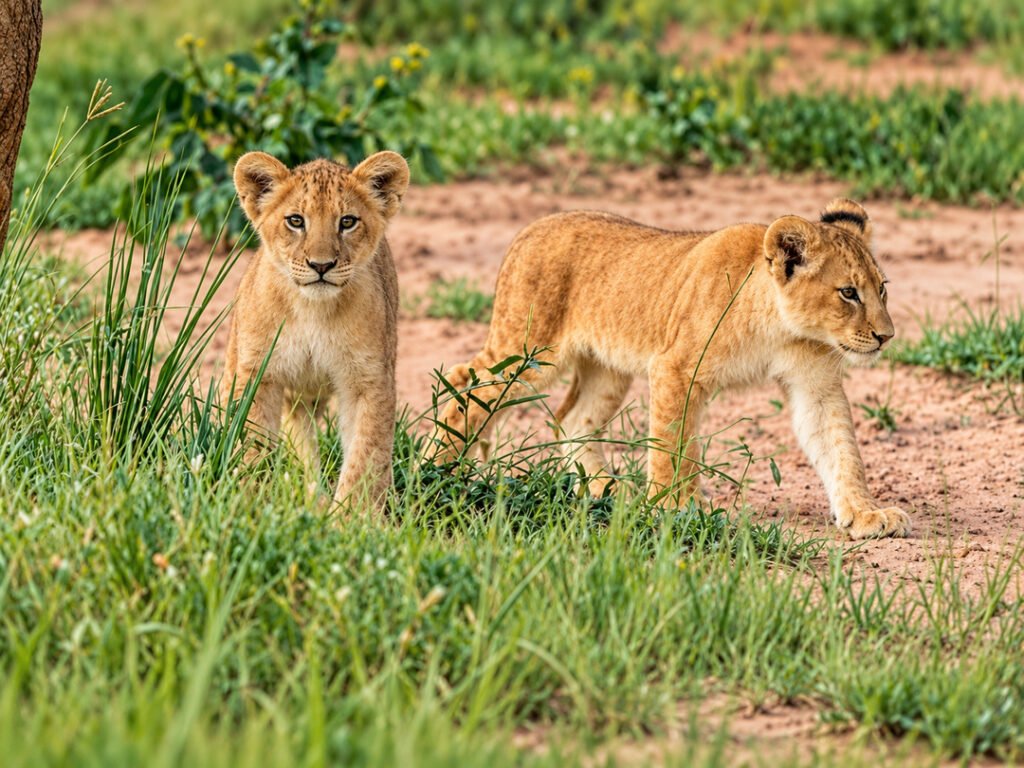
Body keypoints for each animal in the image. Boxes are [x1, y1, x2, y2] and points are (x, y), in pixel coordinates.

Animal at [222, 150, 409, 509]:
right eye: (296, 221)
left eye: (347, 222)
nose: (321, 266)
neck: (312, 312)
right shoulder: (256, 373)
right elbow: (251, 443)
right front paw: (254, 500)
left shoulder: (369, 381)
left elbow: (366, 454)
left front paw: (354, 515)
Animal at [436, 198, 910, 539]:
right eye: (848, 292)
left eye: (882, 288)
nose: (886, 336)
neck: (781, 328)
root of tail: (529, 229)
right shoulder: (675, 368)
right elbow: (671, 445)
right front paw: (671, 510)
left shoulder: (816, 385)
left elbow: (841, 449)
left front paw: (866, 513)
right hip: (529, 352)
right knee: (465, 383)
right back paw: (438, 473)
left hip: (607, 367)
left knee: (571, 419)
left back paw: (605, 492)